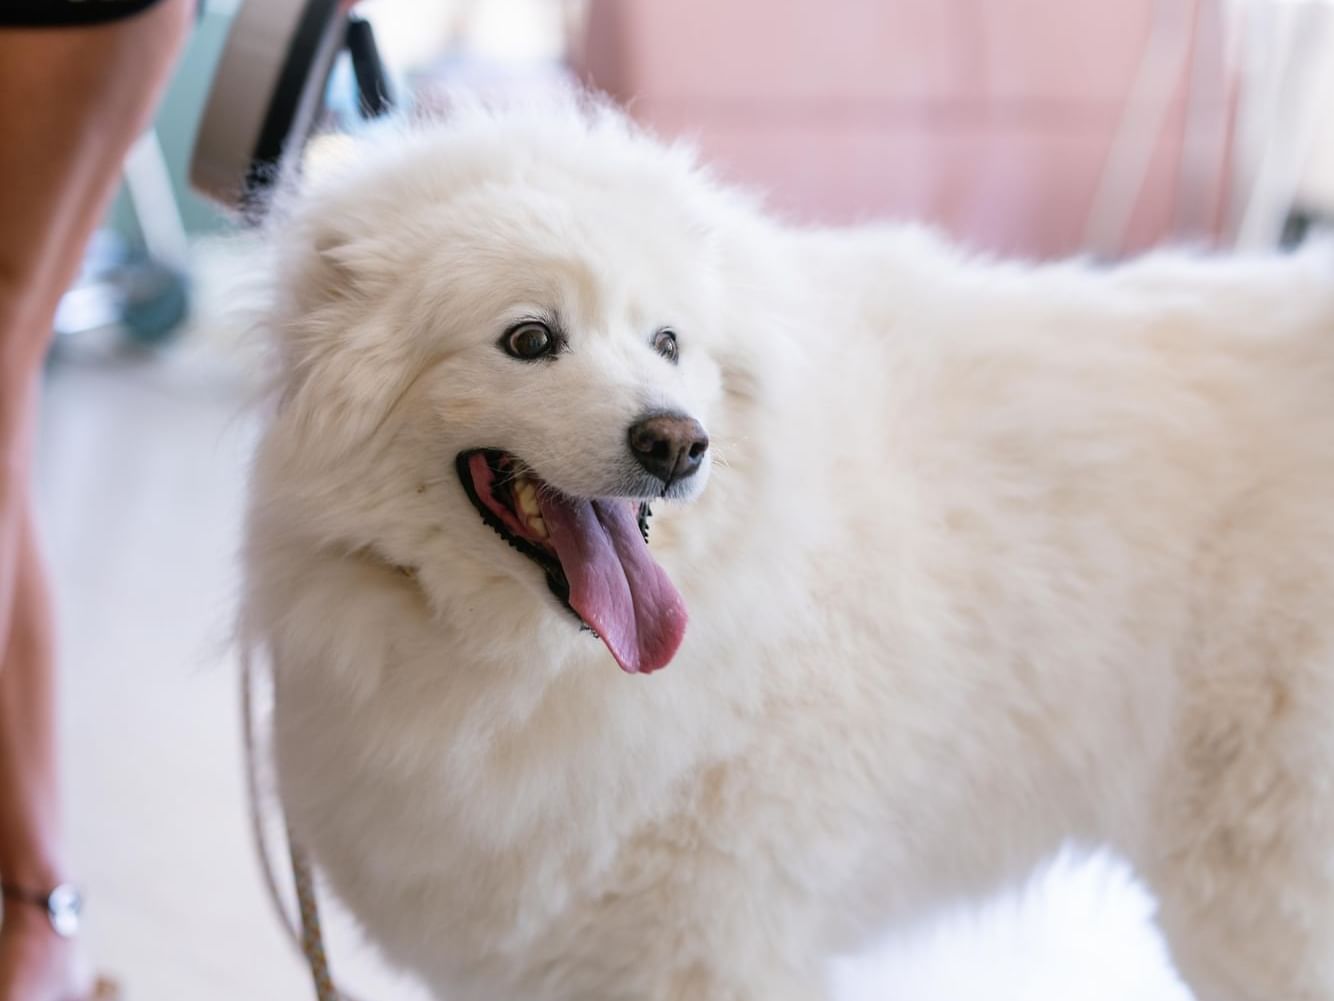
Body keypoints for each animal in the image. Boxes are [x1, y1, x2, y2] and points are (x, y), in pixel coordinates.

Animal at [245, 96, 1334, 1001]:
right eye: (528, 339)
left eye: (668, 342)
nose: (678, 441)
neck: (535, 675)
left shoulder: (706, 947)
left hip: (1255, 895)